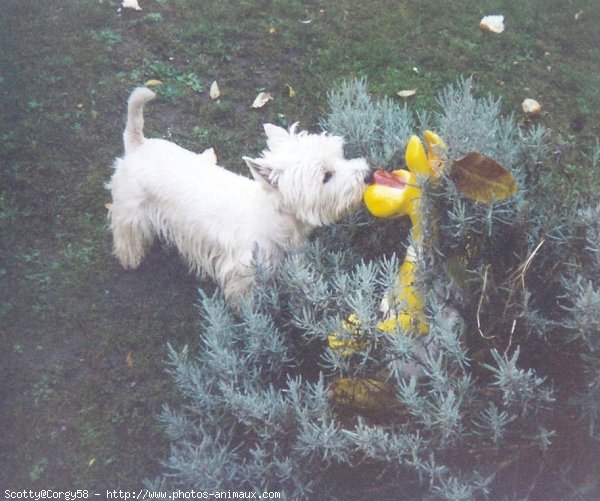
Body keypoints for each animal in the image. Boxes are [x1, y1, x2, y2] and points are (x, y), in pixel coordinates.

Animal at [108, 87, 370, 300]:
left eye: (340, 155)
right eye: (326, 176)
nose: (368, 175)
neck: (279, 219)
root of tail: (138, 145)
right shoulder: (242, 269)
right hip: (131, 208)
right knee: (125, 233)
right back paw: (130, 259)